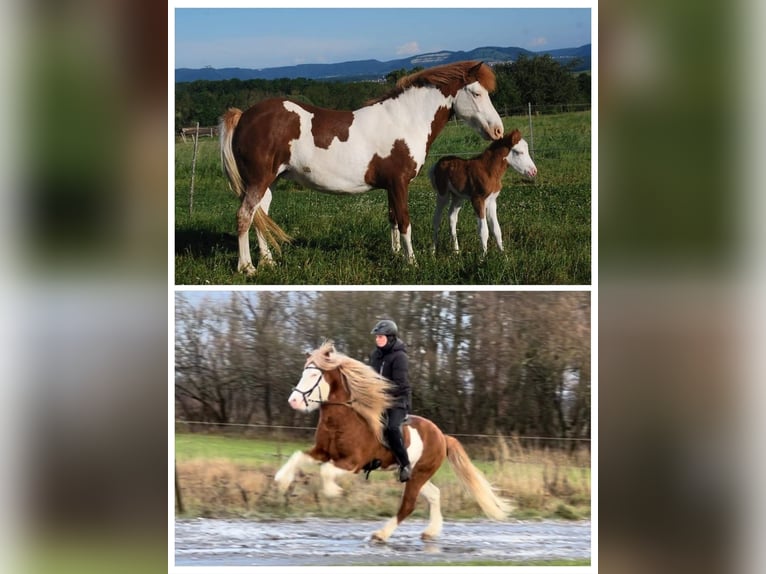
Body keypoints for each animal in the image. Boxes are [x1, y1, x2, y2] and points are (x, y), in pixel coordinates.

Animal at [219, 61, 504, 274]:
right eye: (477, 93)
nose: (498, 130)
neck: (405, 120)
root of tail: (244, 115)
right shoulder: (399, 183)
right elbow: (405, 221)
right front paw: (412, 262)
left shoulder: (390, 186)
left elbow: (392, 219)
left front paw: (395, 255)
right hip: (258, 181)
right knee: (244, 215)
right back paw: (247, 268)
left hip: (270, 181)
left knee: (260, 216)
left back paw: (268, 262)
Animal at [274, 341, 511, 542]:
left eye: (315, 374)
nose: (293, 401)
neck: (344, 421)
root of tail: (442, 437)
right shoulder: (322, 452)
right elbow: (297, 457)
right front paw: (282, 482)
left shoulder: (352, 463)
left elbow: (325, 472)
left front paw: (334, 492)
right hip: (416, 476)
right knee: (434, 494)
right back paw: (430, 532)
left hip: (418, 474)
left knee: (408, 505)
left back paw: (381, 534)